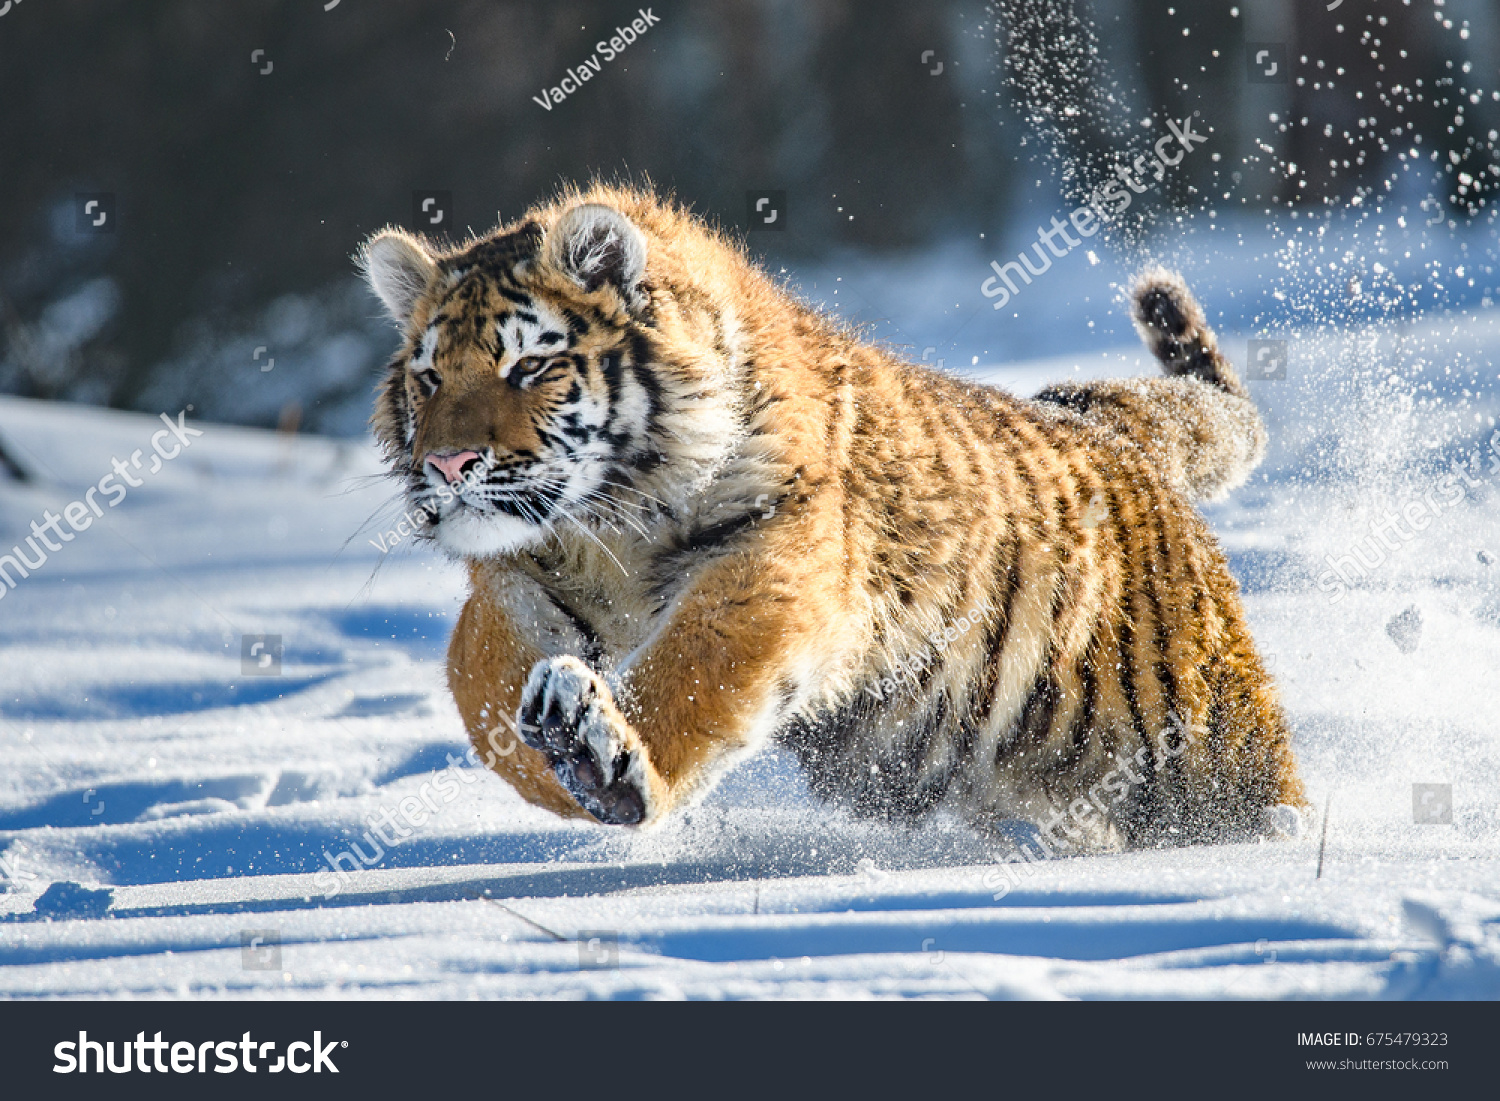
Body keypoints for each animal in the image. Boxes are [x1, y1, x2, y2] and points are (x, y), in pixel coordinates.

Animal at [357, 183, 1307, 851]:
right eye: (429, 378)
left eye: (530, 366)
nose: (447, 464)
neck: (610, 524)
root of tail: (1106, 426)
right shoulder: (519, 576)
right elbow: (481, 682)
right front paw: (556, 758)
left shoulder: (773, 561)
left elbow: (692, 670)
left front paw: (606, 759)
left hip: (1202, 741)